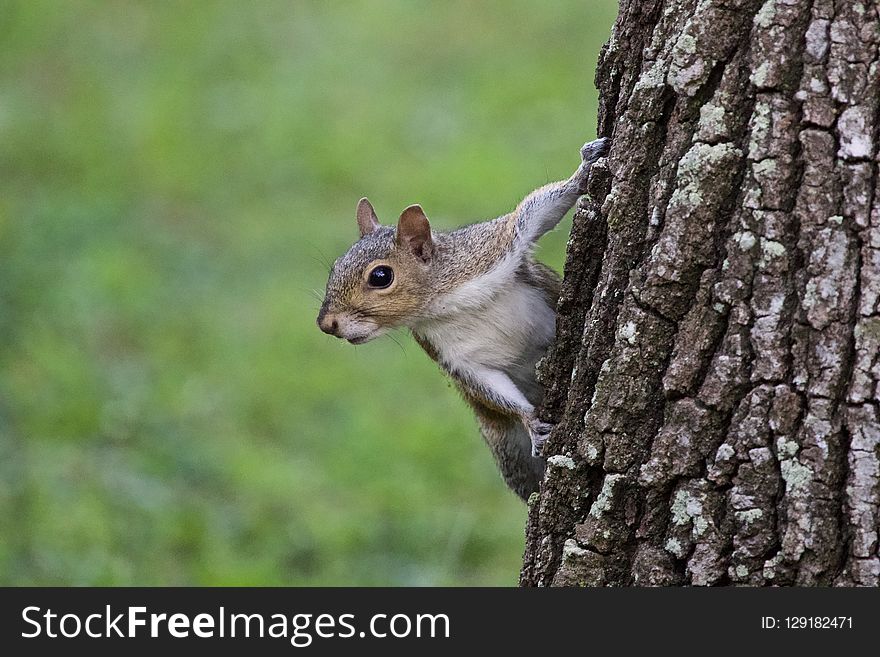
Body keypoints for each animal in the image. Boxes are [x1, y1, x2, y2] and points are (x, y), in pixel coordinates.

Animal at [318, 136, 612, 500]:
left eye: (381, 276)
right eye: (335, 267)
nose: (326, 324)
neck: (444, 303)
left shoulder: (491, 248)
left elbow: (533, 212)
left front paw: (584, 169)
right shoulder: (454, 355)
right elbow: (486, 385)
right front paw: (532, 422)